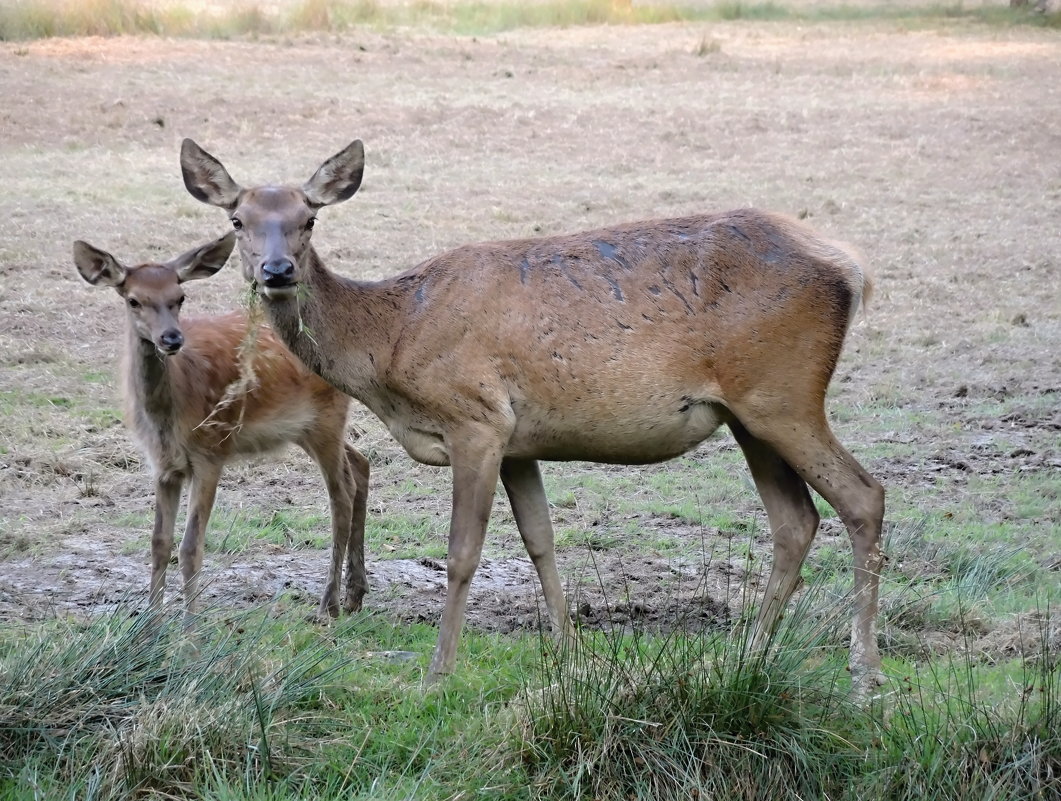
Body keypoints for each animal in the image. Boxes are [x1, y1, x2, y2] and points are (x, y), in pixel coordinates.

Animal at [72, 232, 371, 619]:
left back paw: (329, 603)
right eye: (133, 300)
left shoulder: (211, 452)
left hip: (328, 417)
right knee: (361, 464)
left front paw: (190, 625)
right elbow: (158, 543)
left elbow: (190, 547)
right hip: (305, 427)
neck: (170, 414)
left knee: (341, 493)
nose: (171, 338)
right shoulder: (163, 465)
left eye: (180, 297)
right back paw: (355, 594)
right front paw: (150, 626)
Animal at [182, 138, 886, 695]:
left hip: (785, 394)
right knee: (795, 521)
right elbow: (541, 540)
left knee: (864, 496)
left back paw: (864, 667)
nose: (276, 270)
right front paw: (570, 650)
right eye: (238, 219)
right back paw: (749, 652)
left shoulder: (477, 419)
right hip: (749, 414)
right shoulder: (519, 442)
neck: (391, 339)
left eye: (308, 219)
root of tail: (855, 271)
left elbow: (463, 552)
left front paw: (438, 672)